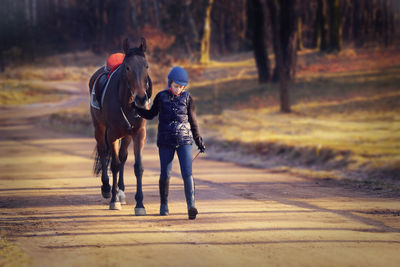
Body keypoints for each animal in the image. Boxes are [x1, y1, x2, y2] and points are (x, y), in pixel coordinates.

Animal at [88, 37, 152, 215]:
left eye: (146, 66)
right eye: (127, 67)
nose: (141, 99)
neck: (128, 103)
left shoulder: (138, 134)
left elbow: (137, 167)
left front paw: (139, 204)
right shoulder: (112, 134)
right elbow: (114, 164)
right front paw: (114, 200)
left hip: (126, 134)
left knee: (123, 157)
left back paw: (121, 192)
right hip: (99, 128)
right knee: (104, 152)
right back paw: (106, 188)